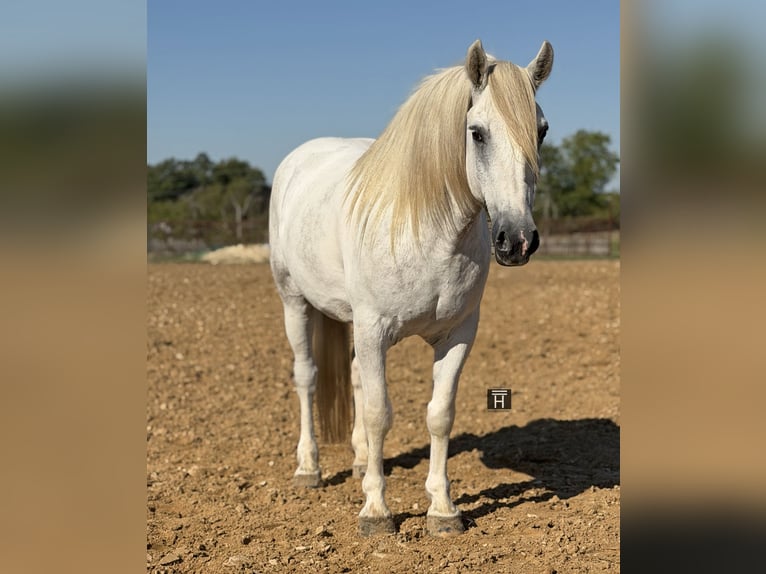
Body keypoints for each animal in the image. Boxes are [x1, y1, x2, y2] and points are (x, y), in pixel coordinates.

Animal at [269, 39, 553, 537]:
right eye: (477, 133)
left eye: (542, 131)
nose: (517, 240)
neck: (429, 232)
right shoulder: (374, 330)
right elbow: (381, 414)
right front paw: (376, 512)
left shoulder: (458, 334)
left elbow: (439, 415)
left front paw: (442, 510)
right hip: (294, 302)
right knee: (307, 378)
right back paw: (309, 469)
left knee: (355, 379)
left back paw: (360, 461)